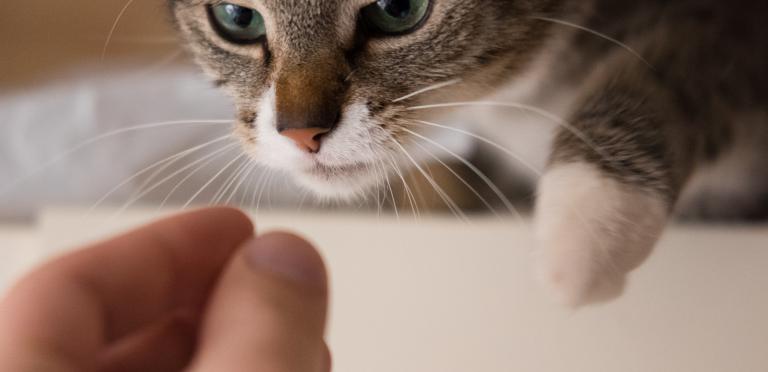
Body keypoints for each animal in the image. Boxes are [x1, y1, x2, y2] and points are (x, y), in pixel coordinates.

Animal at [170, 0, 768, 306]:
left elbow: (669, 63)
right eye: (237, 16)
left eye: (398, 8)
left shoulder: (732, 31)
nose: (300, 133)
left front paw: (586, 223)